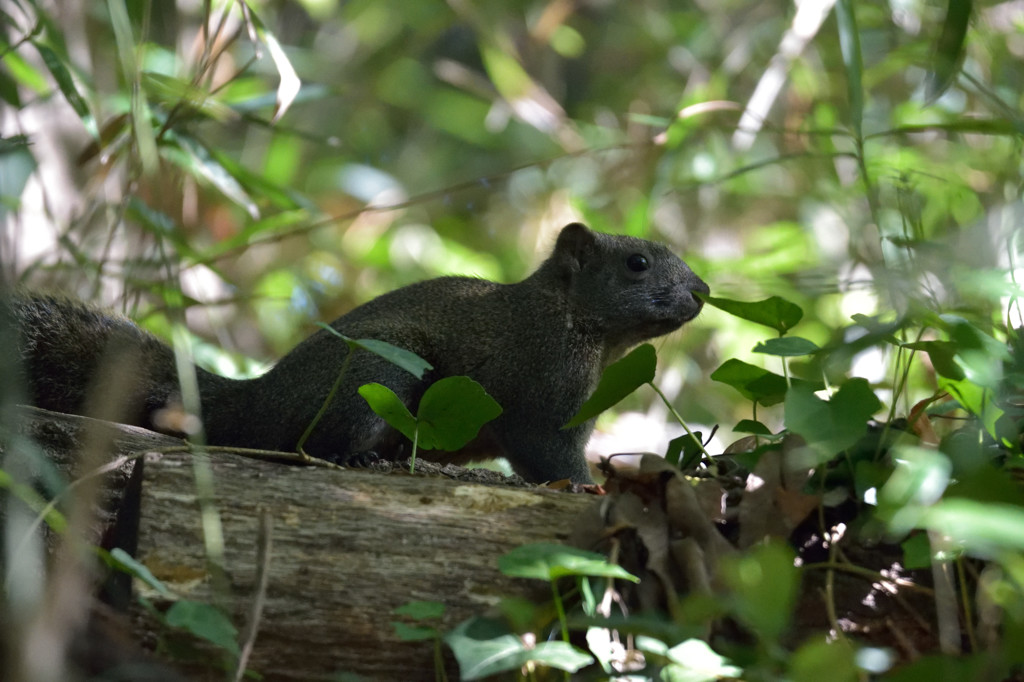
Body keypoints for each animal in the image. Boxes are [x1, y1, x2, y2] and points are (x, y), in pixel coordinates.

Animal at [9, 220, 712, 481]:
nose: (704, 291)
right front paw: (588, 489)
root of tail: (256, 400)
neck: (576, 324)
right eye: (637, 263)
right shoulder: (542, 393)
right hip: (376, 373)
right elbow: (549, 456)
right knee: (318, 442)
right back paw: (361, 460)